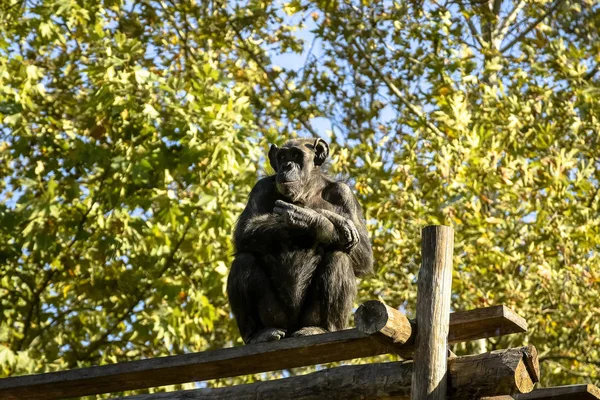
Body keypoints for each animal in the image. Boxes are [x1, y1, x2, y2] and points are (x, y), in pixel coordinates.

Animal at [227, 138, 372, 344]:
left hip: (307, 318)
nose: (287, 165)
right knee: (243, 260)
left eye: (296, 155)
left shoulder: (344, 194)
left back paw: (322, 328)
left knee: (339, 257)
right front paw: (327, 218)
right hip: (275, 316)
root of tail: (291, 329)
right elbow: (245, 231)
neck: (308, 190)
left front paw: (312, 218)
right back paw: (259, 333)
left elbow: (364, 256)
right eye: (282, 157)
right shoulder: (260, 188)